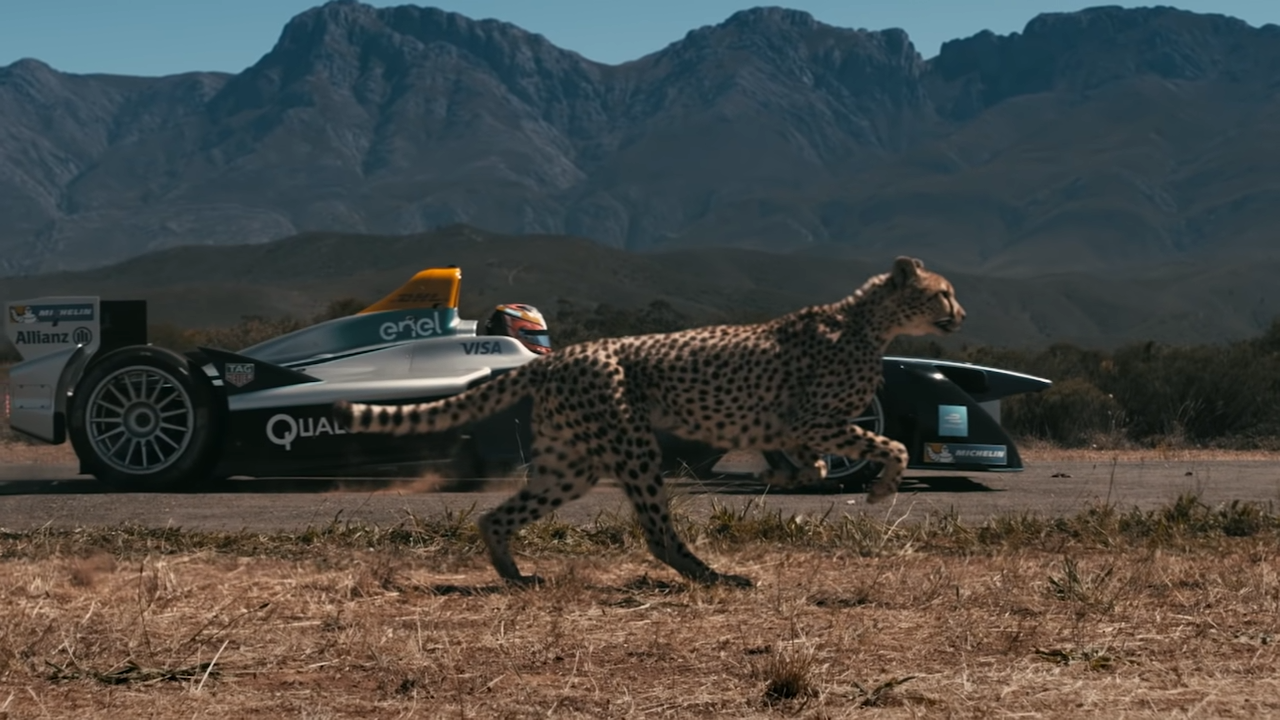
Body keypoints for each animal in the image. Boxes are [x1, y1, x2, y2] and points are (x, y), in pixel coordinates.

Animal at [332, 256, 965, 588]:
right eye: (943, 293)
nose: (960, 314)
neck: (869, 322)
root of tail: (564, 355)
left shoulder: (790, 424)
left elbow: (813, 456)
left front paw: (793, 474)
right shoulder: (814, 417)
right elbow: (890, 446)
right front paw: (879, 490)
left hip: (570, 464)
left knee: (497, 514)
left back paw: (515, 573)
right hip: (631, 449)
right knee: (658, 531)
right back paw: (713, 576)